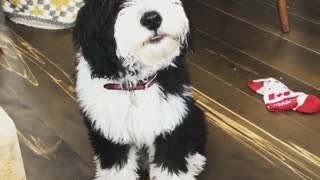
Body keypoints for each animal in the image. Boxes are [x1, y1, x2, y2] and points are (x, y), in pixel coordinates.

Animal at [72, 0, 208, 179]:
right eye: (116, 5)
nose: (152, 19)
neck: (137, 84)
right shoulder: (111, 135)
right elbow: (118, 170)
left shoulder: (170, 126)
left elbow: (171, 166)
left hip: (192, 113)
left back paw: (195, 161)